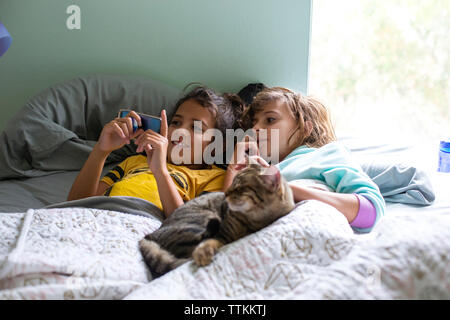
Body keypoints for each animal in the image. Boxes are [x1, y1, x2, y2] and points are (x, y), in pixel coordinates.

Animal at [139, 164, 298, 278]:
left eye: (239, 188)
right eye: (232, 183)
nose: (225, 193)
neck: (257, 219)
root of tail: (148, 236)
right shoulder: (223, 234)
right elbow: (210, 242)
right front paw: (203, 254)